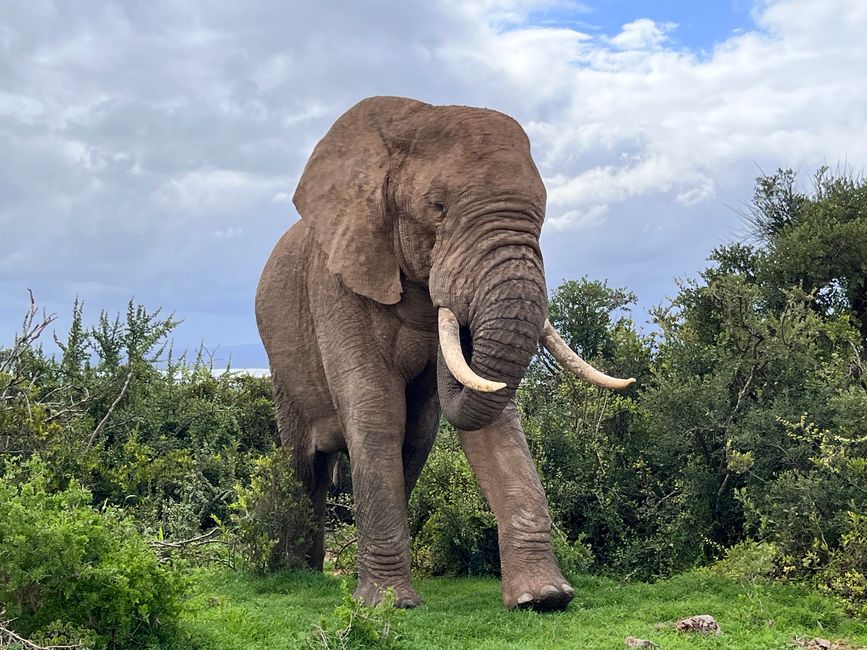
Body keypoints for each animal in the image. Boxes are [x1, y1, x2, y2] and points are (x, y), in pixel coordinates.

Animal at [254, 95, 636, 608]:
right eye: (437, 208)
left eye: (543, 215)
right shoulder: (334, 282)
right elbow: (376, 408)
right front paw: (389, 605)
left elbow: (492, 419)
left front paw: (544, 598)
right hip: (281, 360)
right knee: (304, 460)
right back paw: (300, 572)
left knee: (413, 439)